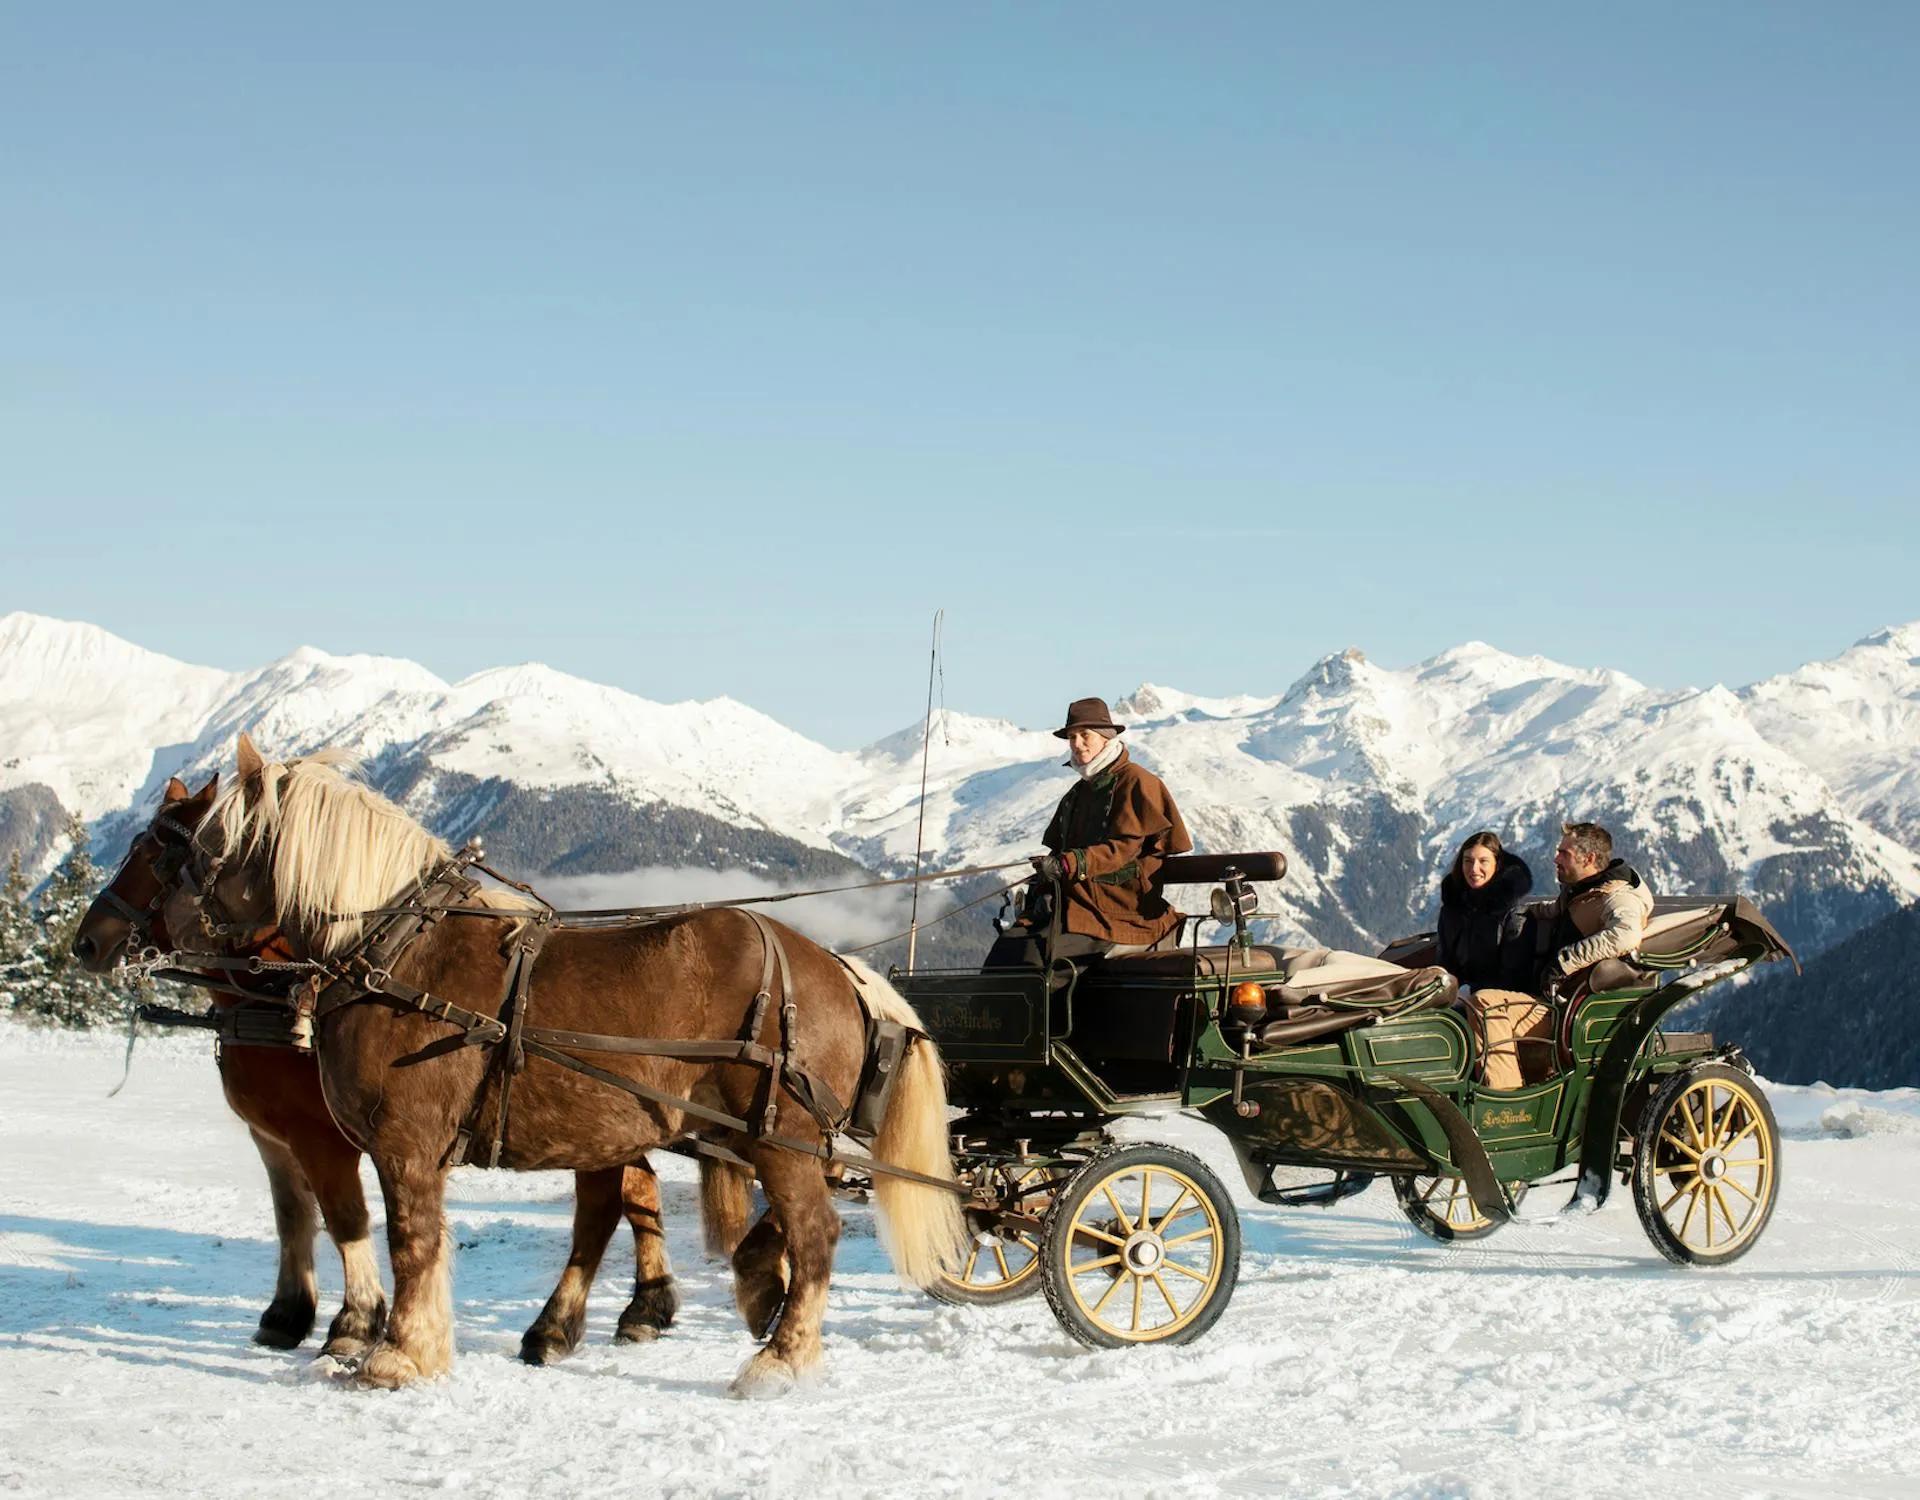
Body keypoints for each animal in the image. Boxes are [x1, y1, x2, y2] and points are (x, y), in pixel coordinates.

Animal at [153, 737, 960, 1390]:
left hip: (781, 1136)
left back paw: (780, 1357)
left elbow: (411, 1242)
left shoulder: (403, 1143)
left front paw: (397, 1354)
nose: (157, 930)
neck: (400, 952)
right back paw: (755, 1291)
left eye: (201, 845)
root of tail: (839, 968)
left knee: (816, 1232)